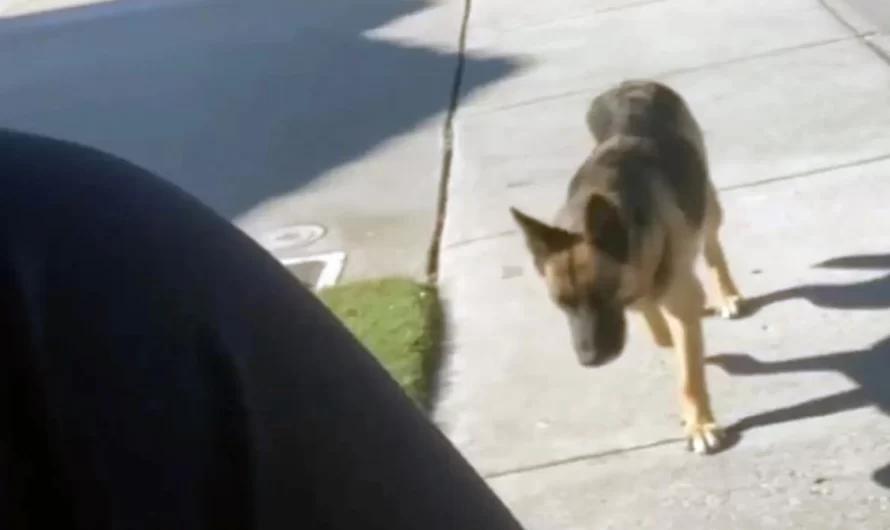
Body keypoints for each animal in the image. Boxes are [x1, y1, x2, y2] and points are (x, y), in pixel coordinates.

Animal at [506, 79, 744, 454]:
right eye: (561, 304)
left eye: (602, 295)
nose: (589, 361)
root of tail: (633, 84)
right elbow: (662, 332)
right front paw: (670, 343)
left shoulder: (677, 300)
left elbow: (688, 374)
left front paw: (699, 423)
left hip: (707, 207)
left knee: (711, 247)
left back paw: (728, 294)